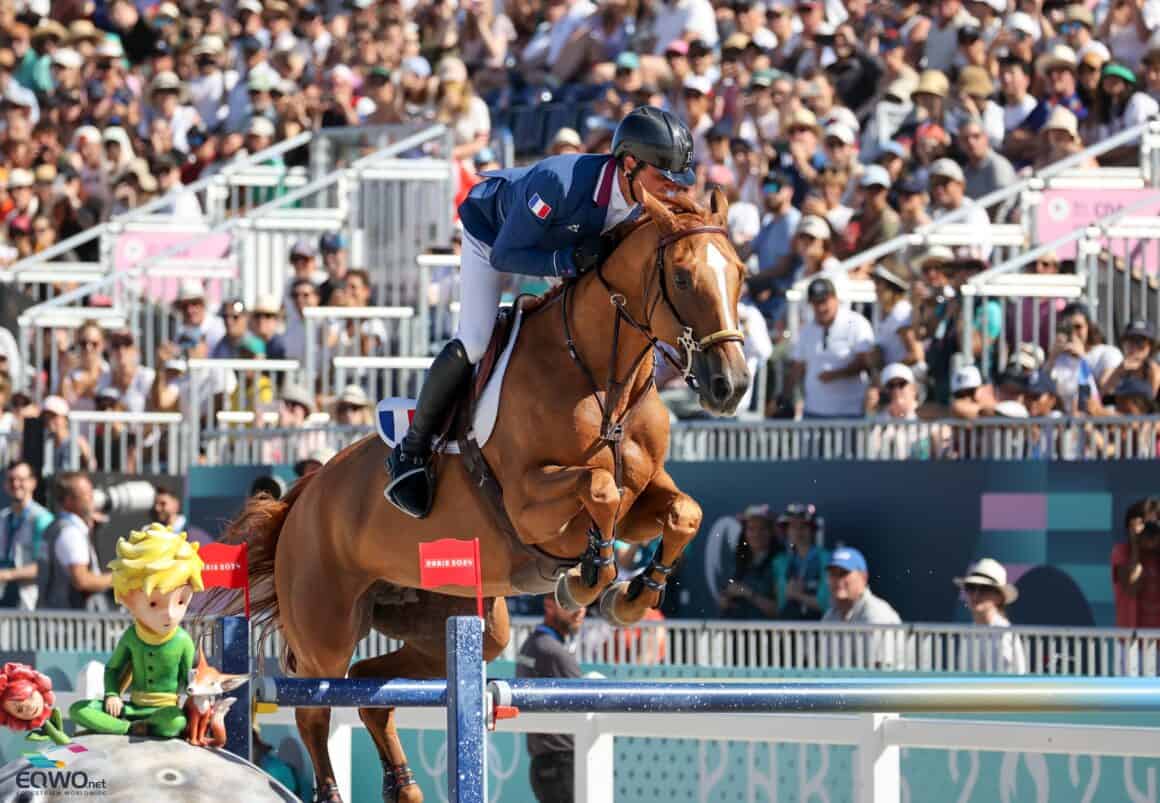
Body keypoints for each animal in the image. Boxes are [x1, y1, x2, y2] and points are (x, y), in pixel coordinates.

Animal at [220, 190, 747, 803]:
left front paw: (632, 596)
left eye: (739, 274)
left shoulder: (642, 496)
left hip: (457, 619)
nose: (731, 386)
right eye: (683, 277)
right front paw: (586, 579)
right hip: (324, 626)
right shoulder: (529, 502)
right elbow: (597, 487)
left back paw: (406, 788)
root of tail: (299, 501)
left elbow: (681, 511)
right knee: (314, 707)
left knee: (370, 689)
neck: (601, 376)